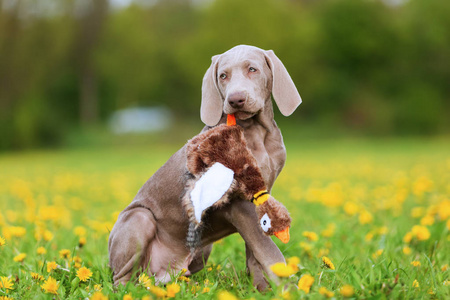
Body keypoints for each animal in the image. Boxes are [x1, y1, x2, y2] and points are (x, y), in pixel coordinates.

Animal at [107, 44, 300, 290]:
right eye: (223, 76)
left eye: (252, 69)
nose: (235, 99)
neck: (257, 131)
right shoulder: (237, 202)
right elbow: (268, 250)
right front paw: (288, 289)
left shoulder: (260, 195)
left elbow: (255, 251)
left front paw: (262, 289)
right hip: (139, 218)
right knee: (122, 279)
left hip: (201, 249)